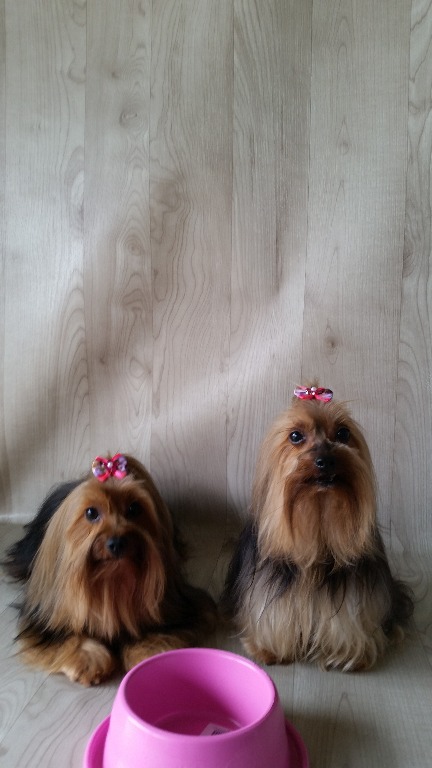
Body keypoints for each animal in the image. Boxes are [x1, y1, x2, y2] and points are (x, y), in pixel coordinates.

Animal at [4, 453, 216, 685]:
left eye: (134, 508)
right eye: (91, 512)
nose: (117, 543)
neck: (112, 579)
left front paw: (149, 651)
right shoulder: (48, 617)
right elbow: (69, 635)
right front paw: (88, 659)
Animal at [223, 386, 413, 671]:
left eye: (343, 433)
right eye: (295, 436)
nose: (326, 460)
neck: (318, 517)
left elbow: (347, 619)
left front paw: (348, 654)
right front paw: (271, 649)